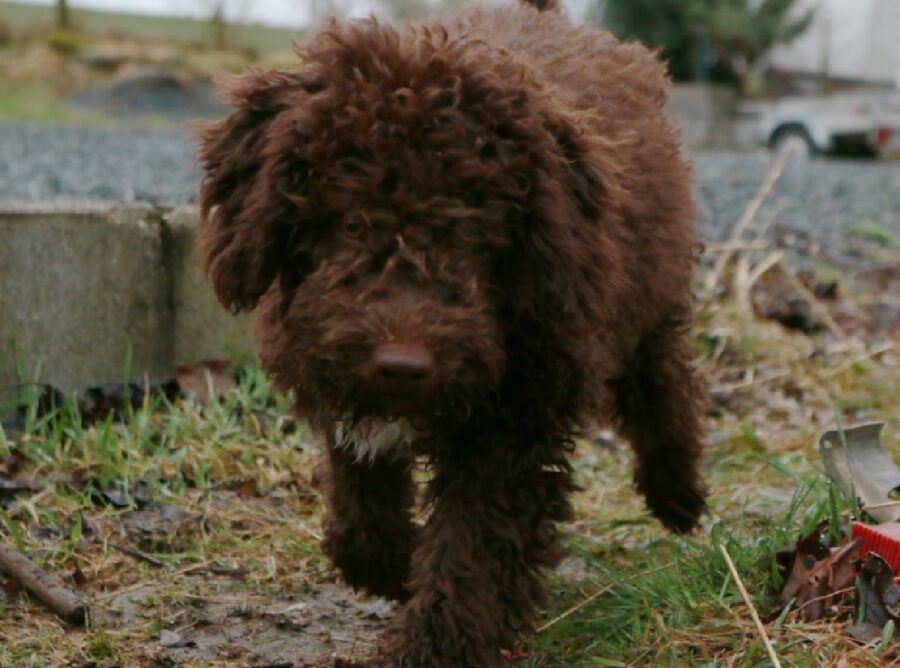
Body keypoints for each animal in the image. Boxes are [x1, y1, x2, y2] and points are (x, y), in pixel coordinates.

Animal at [195, 1, 704, 664]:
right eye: (351, 223)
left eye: (469, 235)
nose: (404, 365)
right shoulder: (341, 379)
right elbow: (360, 503)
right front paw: (392, 566)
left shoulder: (517, 415)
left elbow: (474, 545)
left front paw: (436, 646)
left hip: (648, 289)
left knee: (662, 376)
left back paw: (678, 493)